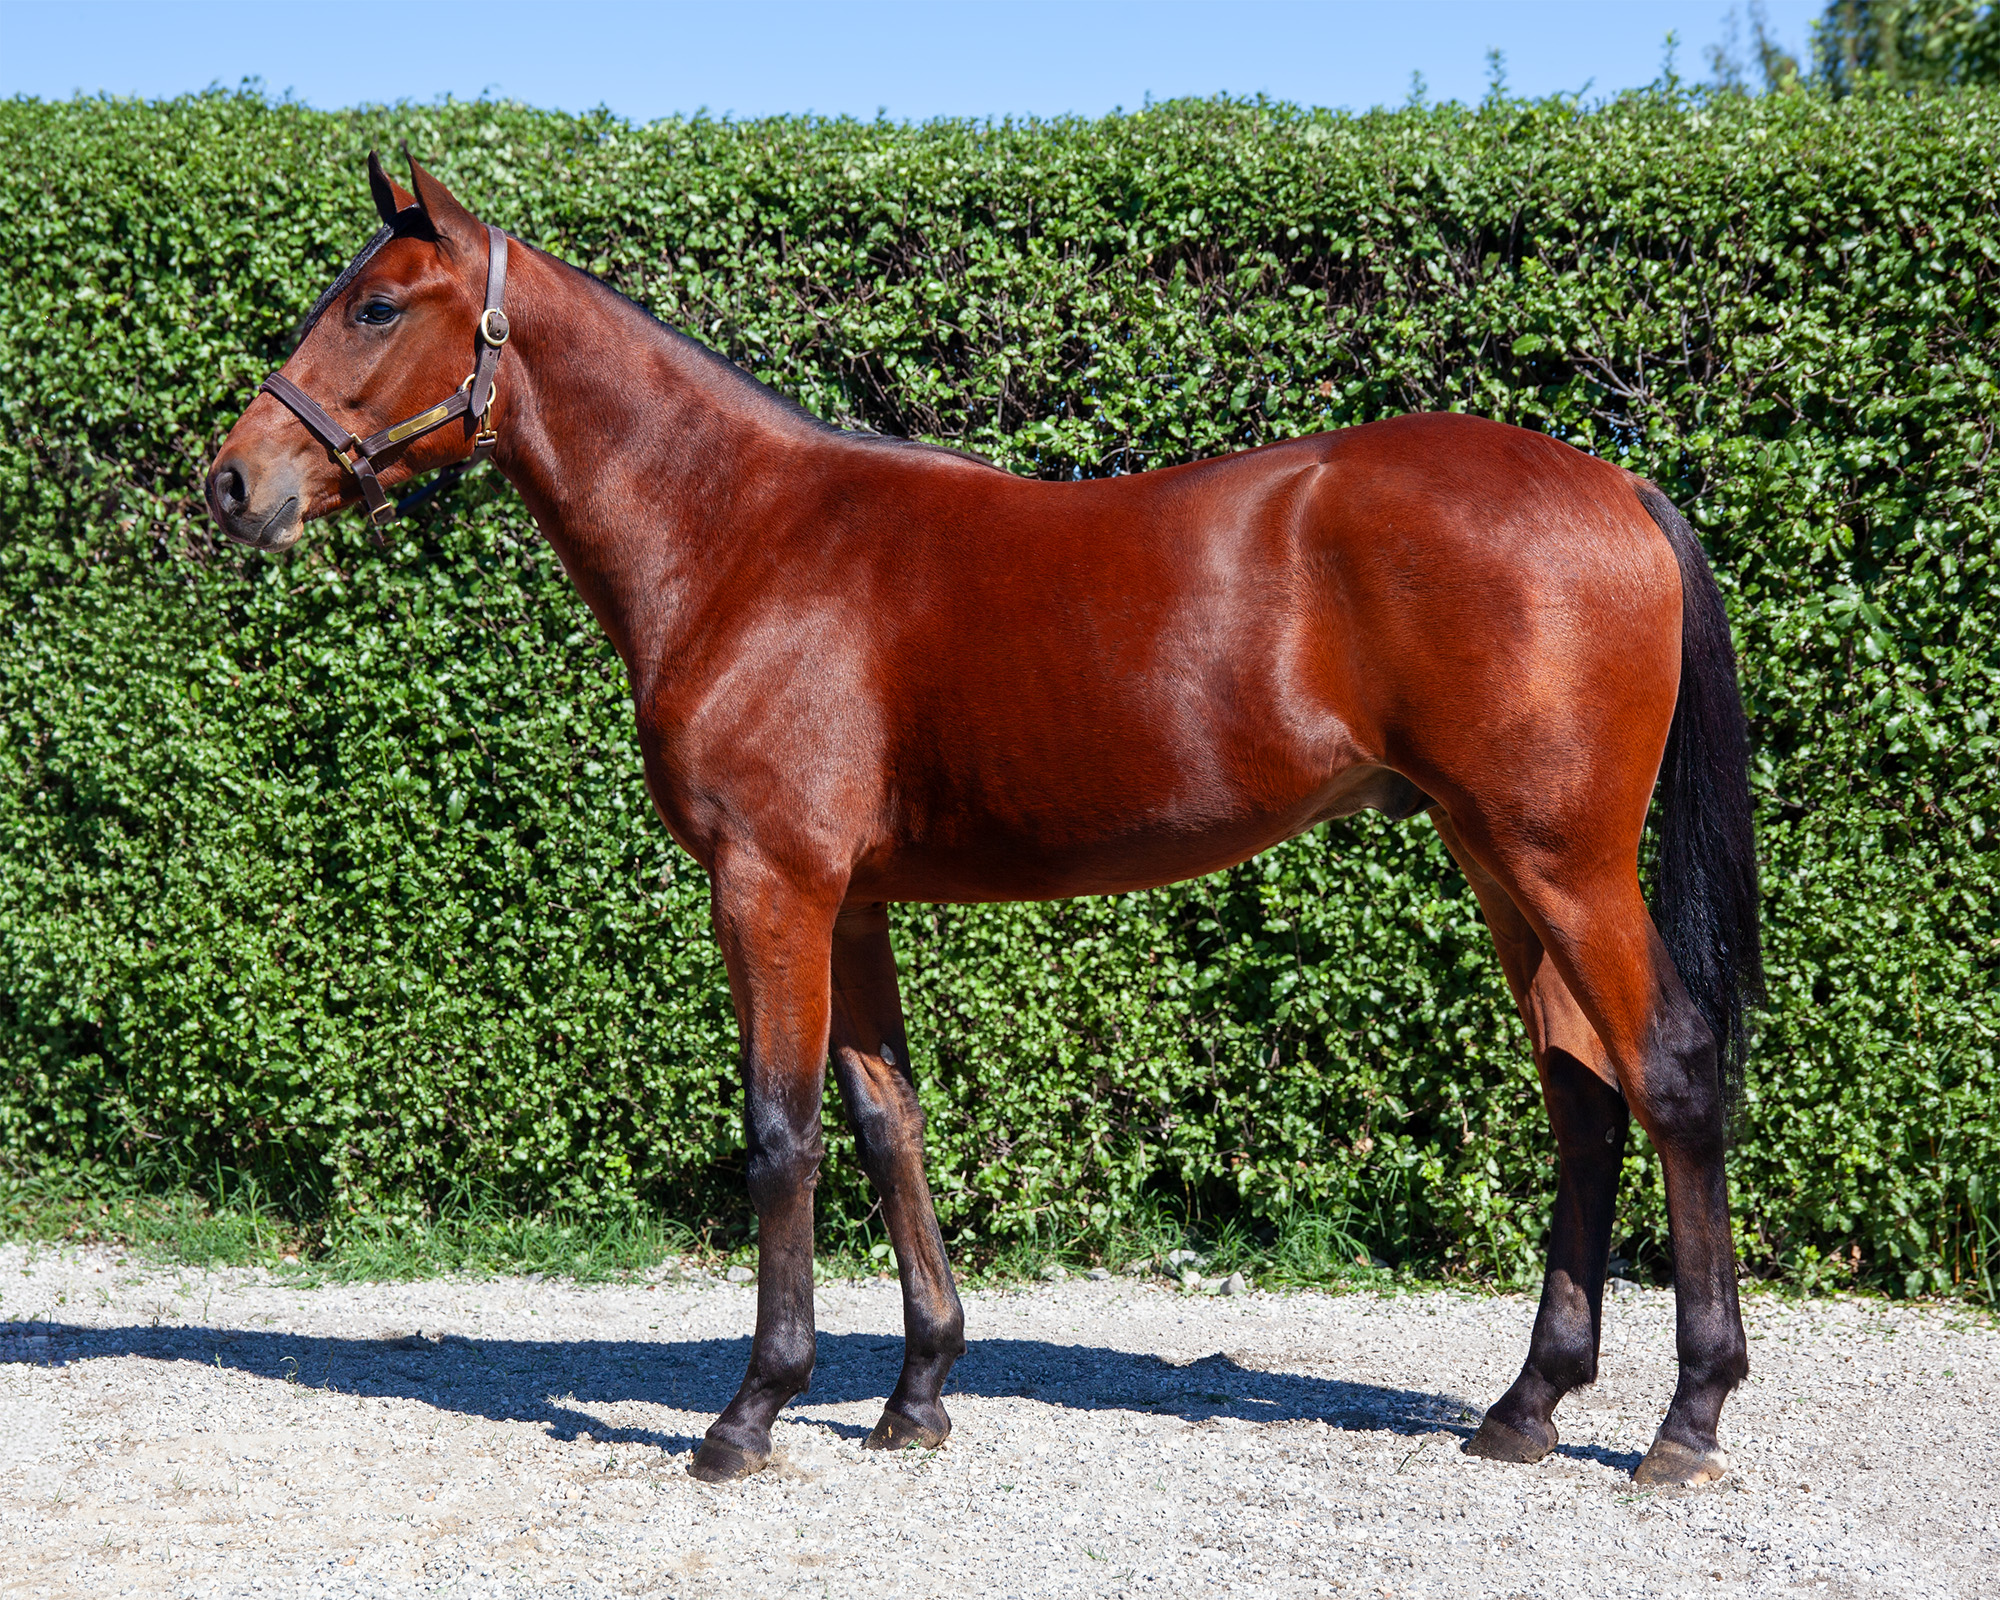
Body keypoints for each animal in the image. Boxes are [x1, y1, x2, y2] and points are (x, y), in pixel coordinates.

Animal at [206, 155, 1763, 1489]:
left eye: (377, 305)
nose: (234, 483)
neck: (738, 535)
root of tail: (1616, 480)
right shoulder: (852, 898)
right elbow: (885, 1119)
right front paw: (916, 1395)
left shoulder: (768, 884)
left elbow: (781, 1132)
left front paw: (751, 1411)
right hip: (1498, 862)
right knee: (1580, 1091)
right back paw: (1528, 1405)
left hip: (1563, 865)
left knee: (1671, 1073)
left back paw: (1687, 1419)